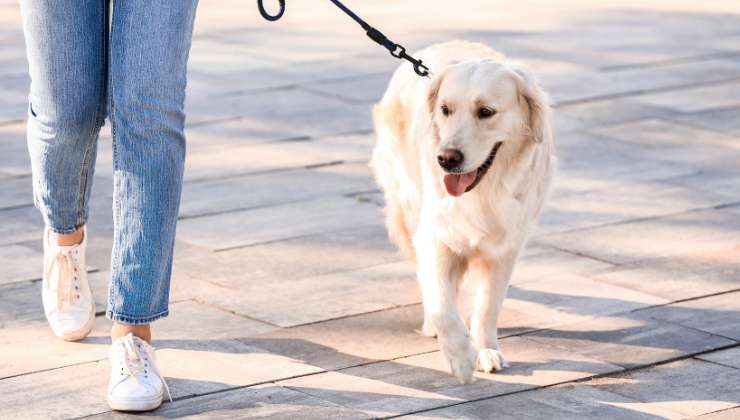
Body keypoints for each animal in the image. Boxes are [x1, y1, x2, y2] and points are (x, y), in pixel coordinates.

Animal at [372, 41, 552, 382]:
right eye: (445, 109)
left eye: (486, 112)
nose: (446, 158)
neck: (483, 192)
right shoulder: (433, 235)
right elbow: (442, 303)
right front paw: (460, 354)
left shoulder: (506, 246)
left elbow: (489, 305)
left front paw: (485, 349)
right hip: (406, 203)